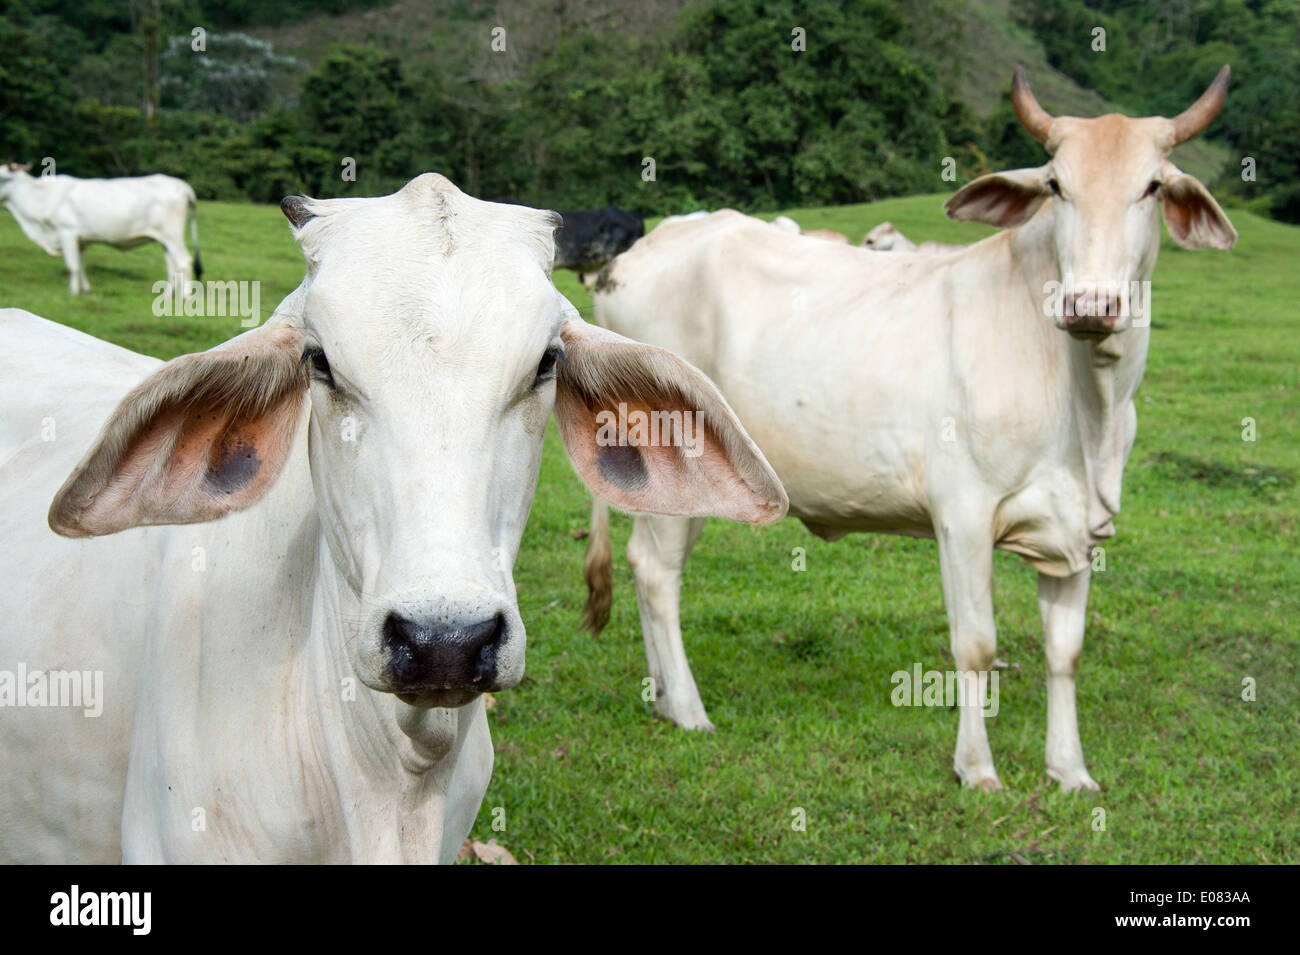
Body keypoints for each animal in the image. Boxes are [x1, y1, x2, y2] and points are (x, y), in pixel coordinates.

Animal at [0, 163, 200, 294]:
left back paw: (186, 296)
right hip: (165, 240)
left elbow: (72, 266)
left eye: (1, 177)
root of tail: (182, 186)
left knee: (184, 261)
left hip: (173, 236)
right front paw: (86, 289)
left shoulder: (66, 232)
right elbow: (80, 264)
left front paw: (73, 292)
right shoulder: (79, 240)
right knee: (172, 267)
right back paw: (168, 295)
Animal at [582, 69, 1237, 789]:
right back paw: (691, 710)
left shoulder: (1079, 528)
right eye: (1056, 185)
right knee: (656, 572)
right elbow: (976, 644)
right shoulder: (963, 512)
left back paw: (662, 698)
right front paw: (977, 769)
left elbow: (1065, 652)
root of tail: (633, 257)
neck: (1089, 407)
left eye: (1152, 186)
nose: (1090, 304)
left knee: (644, 565)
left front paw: (1070, 770)